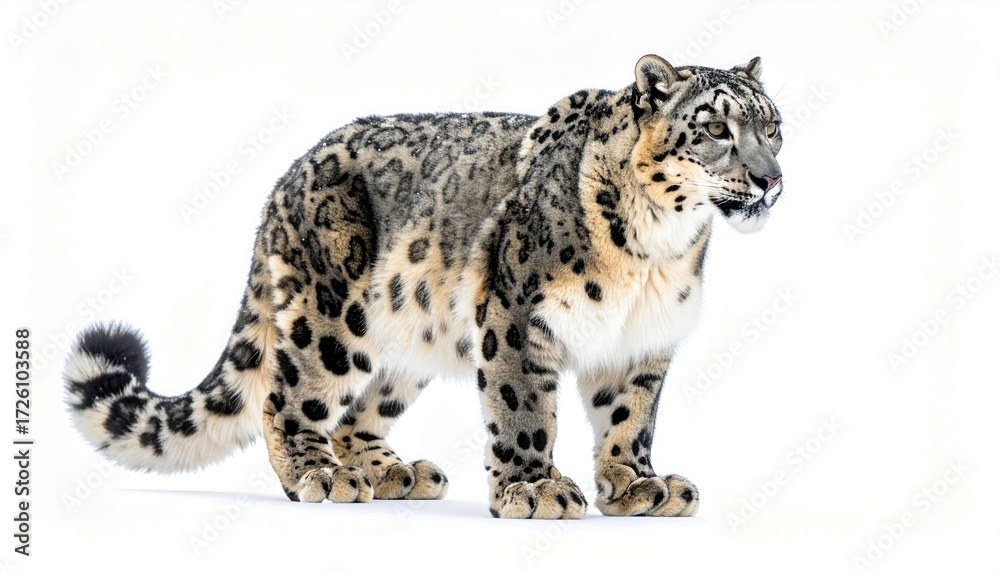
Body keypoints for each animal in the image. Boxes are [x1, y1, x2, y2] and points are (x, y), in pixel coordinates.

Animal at [63, 54, 783, 519]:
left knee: (356, 413)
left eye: (773, 125)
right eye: (715, 128)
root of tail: (285, 179)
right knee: (286, 397)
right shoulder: (516, 318)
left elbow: (629, 418)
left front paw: (637, 485)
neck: (656, 251)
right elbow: (525, 411)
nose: (771, 177)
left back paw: (392, 472)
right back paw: (320, 475)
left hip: (402, 342)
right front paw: (534, 489)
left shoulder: (644, 343)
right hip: (330, 318)